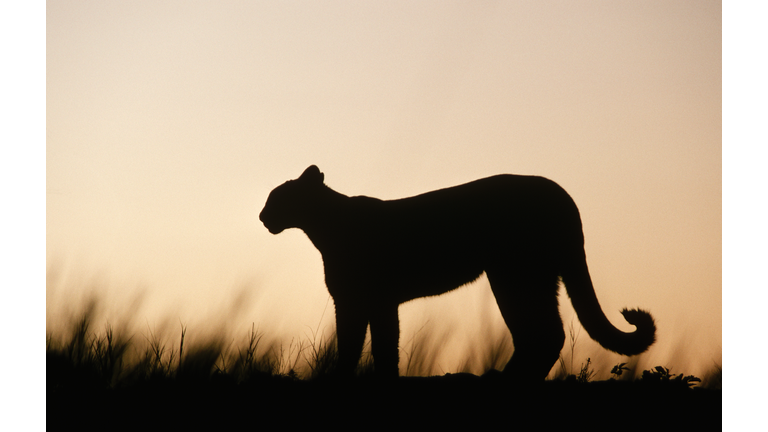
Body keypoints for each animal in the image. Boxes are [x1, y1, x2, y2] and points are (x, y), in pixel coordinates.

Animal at [260, 165, 656, 378]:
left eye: (277, 198)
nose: (263, 216)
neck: (324, 228)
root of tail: (563, 196)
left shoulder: (359, 302)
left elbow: (357, 346)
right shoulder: (375, 303)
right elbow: (380, 345)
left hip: (516, 275)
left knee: (542, 333)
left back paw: (505, 379)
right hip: (532, 278)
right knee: (543, 333)